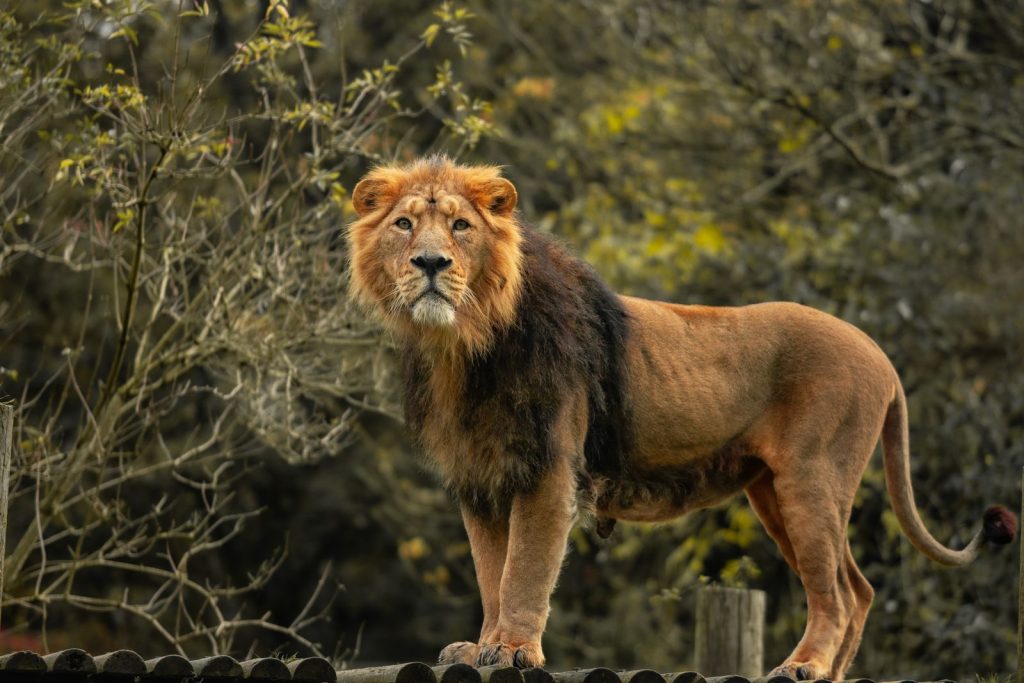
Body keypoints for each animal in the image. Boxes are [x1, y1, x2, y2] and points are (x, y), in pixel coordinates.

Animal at [346, 157, 1016, 679]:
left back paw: (804, 666)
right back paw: (829, 672)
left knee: (839, 594)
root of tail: (881, 355)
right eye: (405, 224)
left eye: (461, 226)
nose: (431, 263)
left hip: (812, 478)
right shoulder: (482, 476)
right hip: (773, 492)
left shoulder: (549, 468)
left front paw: (513, 650)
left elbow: (525, 570)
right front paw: (481, 647)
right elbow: (492, 571)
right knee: (860, 585)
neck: (463, 348)